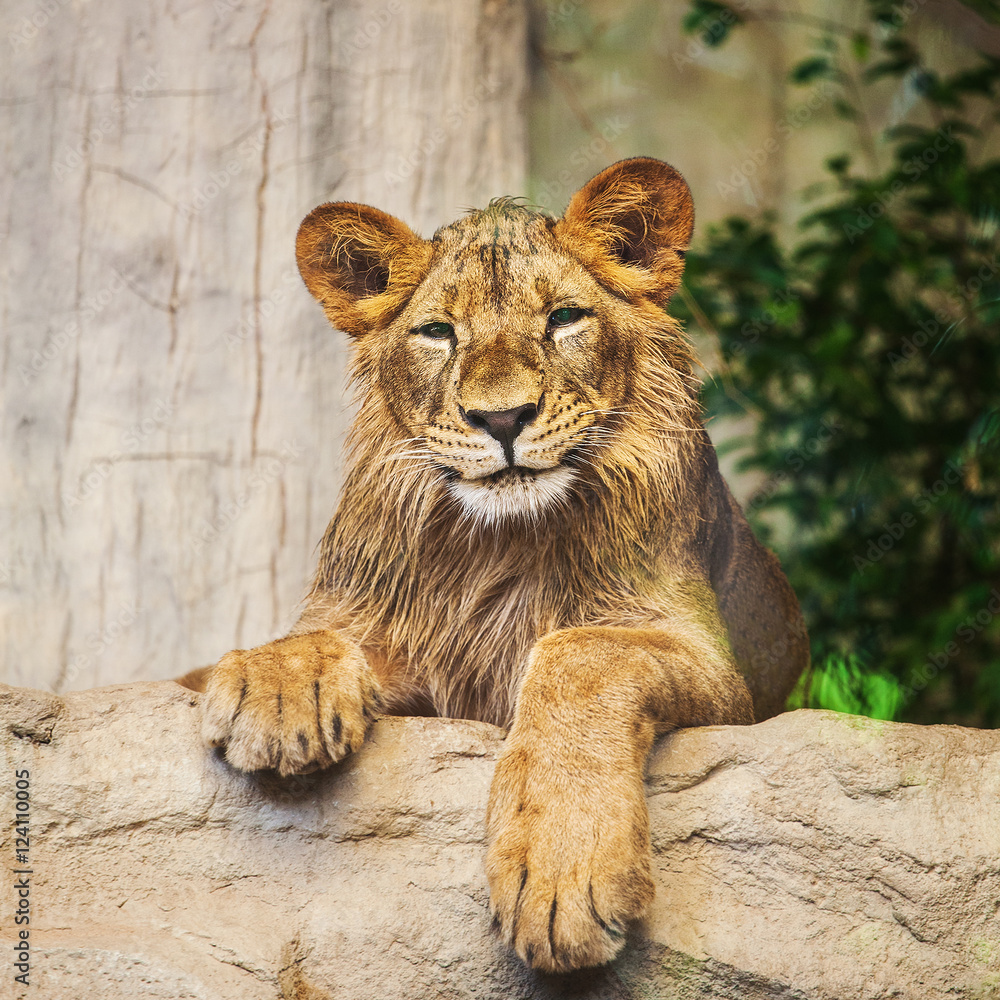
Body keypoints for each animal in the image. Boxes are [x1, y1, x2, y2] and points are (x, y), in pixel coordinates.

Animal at [186, 157, 808, 974]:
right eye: (438, 333)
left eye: (565, 319)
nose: (503, 418)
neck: (499, 545)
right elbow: (310, 638)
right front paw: (282, 689)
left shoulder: (711, 662)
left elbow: (581, 653)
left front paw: (563, 873)